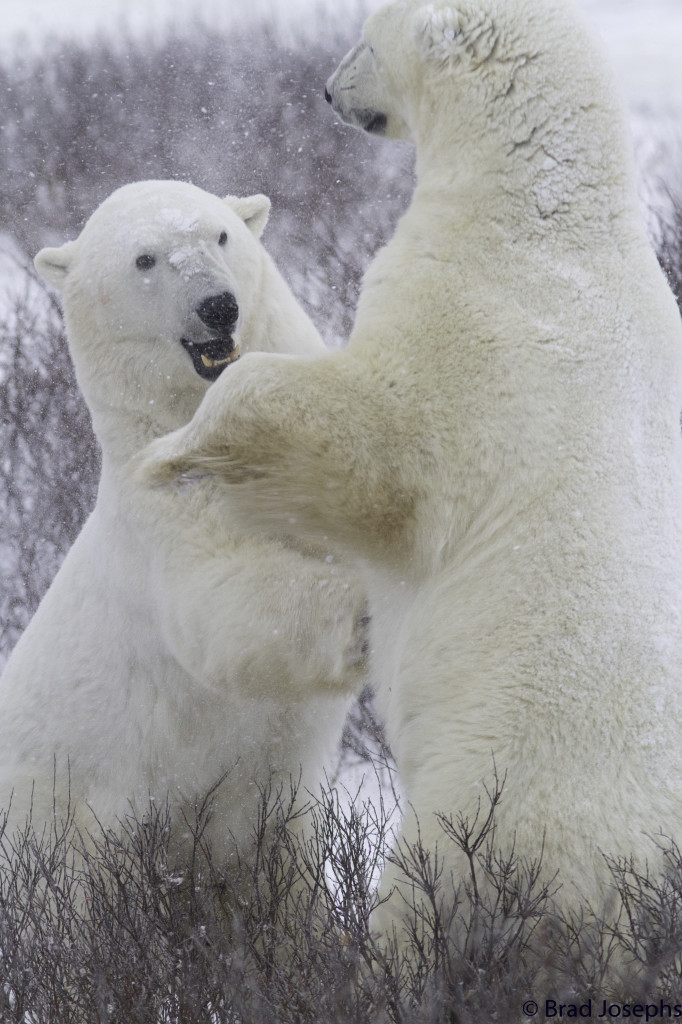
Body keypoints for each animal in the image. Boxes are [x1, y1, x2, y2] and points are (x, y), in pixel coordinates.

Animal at [0, 179, 368, 866]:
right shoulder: (161, 513)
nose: (218, 306)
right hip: (49, 817)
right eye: (145, 259)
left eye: (221, 234)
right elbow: (226, 600)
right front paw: (362, 617)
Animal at [139, 0, 682, 925]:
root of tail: (629, 891)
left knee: (427, 891)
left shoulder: (466, 329)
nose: (327, 89)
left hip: (485, 802)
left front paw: (169, 454)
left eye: (365, 33)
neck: (542, 217)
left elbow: (372, 448)